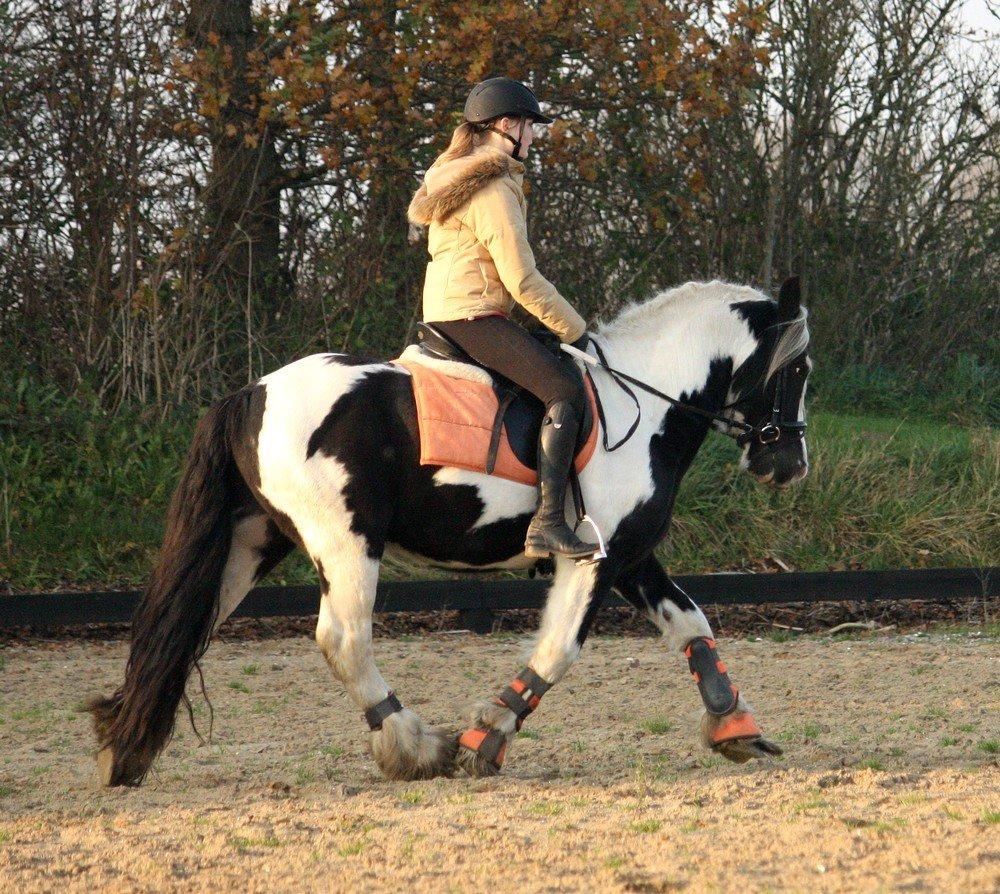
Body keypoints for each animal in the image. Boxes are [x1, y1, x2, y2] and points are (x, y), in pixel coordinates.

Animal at [90, 276, 812, 788]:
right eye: (798, 370)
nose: (790, 465)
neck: (647, 406)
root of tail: (251, 394)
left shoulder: (629, 555)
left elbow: (692, 623)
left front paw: (734, 724)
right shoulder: (592, 559)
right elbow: (558, 650)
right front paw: (483, 739)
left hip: (251, 541)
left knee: (183, 627)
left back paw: (122, 746)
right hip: (346, 544)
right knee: (342, 639)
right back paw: (415, 748)